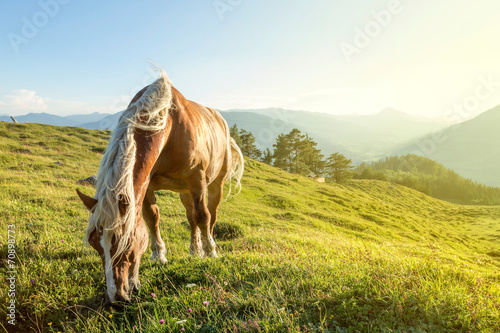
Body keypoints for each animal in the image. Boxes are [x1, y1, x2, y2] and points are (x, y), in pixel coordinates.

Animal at [75, 68, 244, 302]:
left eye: (126, 243)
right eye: (94, 245)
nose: (117, 297)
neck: (170, 126)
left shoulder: (197, 179)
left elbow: (204, 216)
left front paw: (211, 251)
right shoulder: (147, 186)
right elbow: (151, 217)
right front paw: (158, 255)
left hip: (213, 185)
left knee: (210, 215)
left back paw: (207, 246)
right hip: (185, 192)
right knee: (191, 219)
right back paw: (195, 250)